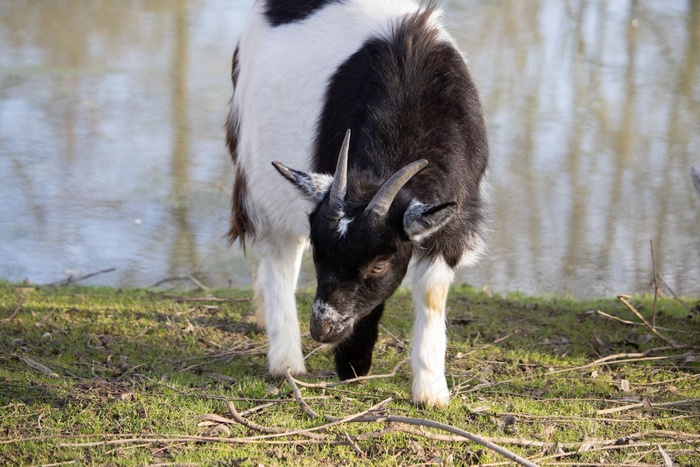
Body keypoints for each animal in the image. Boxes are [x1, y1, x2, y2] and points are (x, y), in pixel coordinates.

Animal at [227, 0, 490, 408]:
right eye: (320, 253)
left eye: (380, 264)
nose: (322, 328)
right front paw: (352, 364)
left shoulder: (455, 220)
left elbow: (432, 293)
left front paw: (430, 391)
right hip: (257, 168)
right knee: (279, 254)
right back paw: (285, 360)